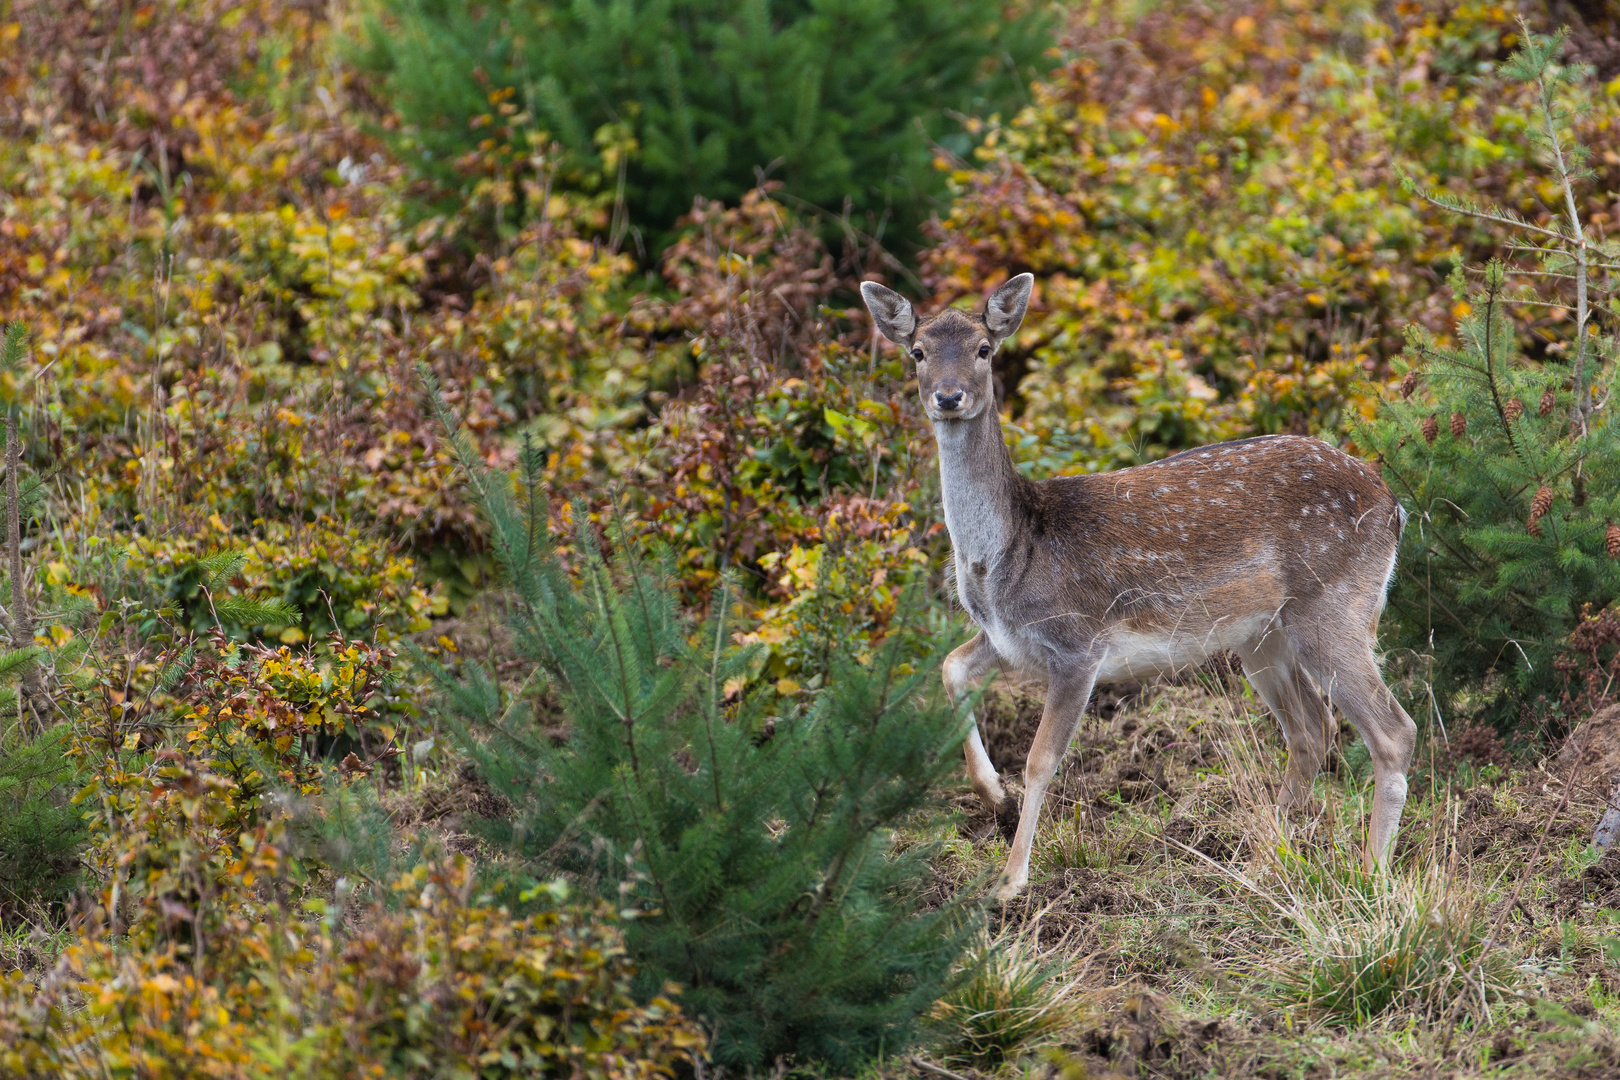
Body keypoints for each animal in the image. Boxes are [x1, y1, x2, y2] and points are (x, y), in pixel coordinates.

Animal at [861, 275, 1419, 900]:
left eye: (985, 348)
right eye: (918, 352)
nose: (949, 397)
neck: (1007, 556)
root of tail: (1393, 505)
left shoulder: (1077, 642)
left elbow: (1041, 759)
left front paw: (1010, 880)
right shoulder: (1010, 639)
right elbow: (950, 666)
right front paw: (995, 798)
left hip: (1335, 605)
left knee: (1392, 731)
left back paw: (1371, 877)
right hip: (1262, 636)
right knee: (1311, 728)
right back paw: (1259, 864)